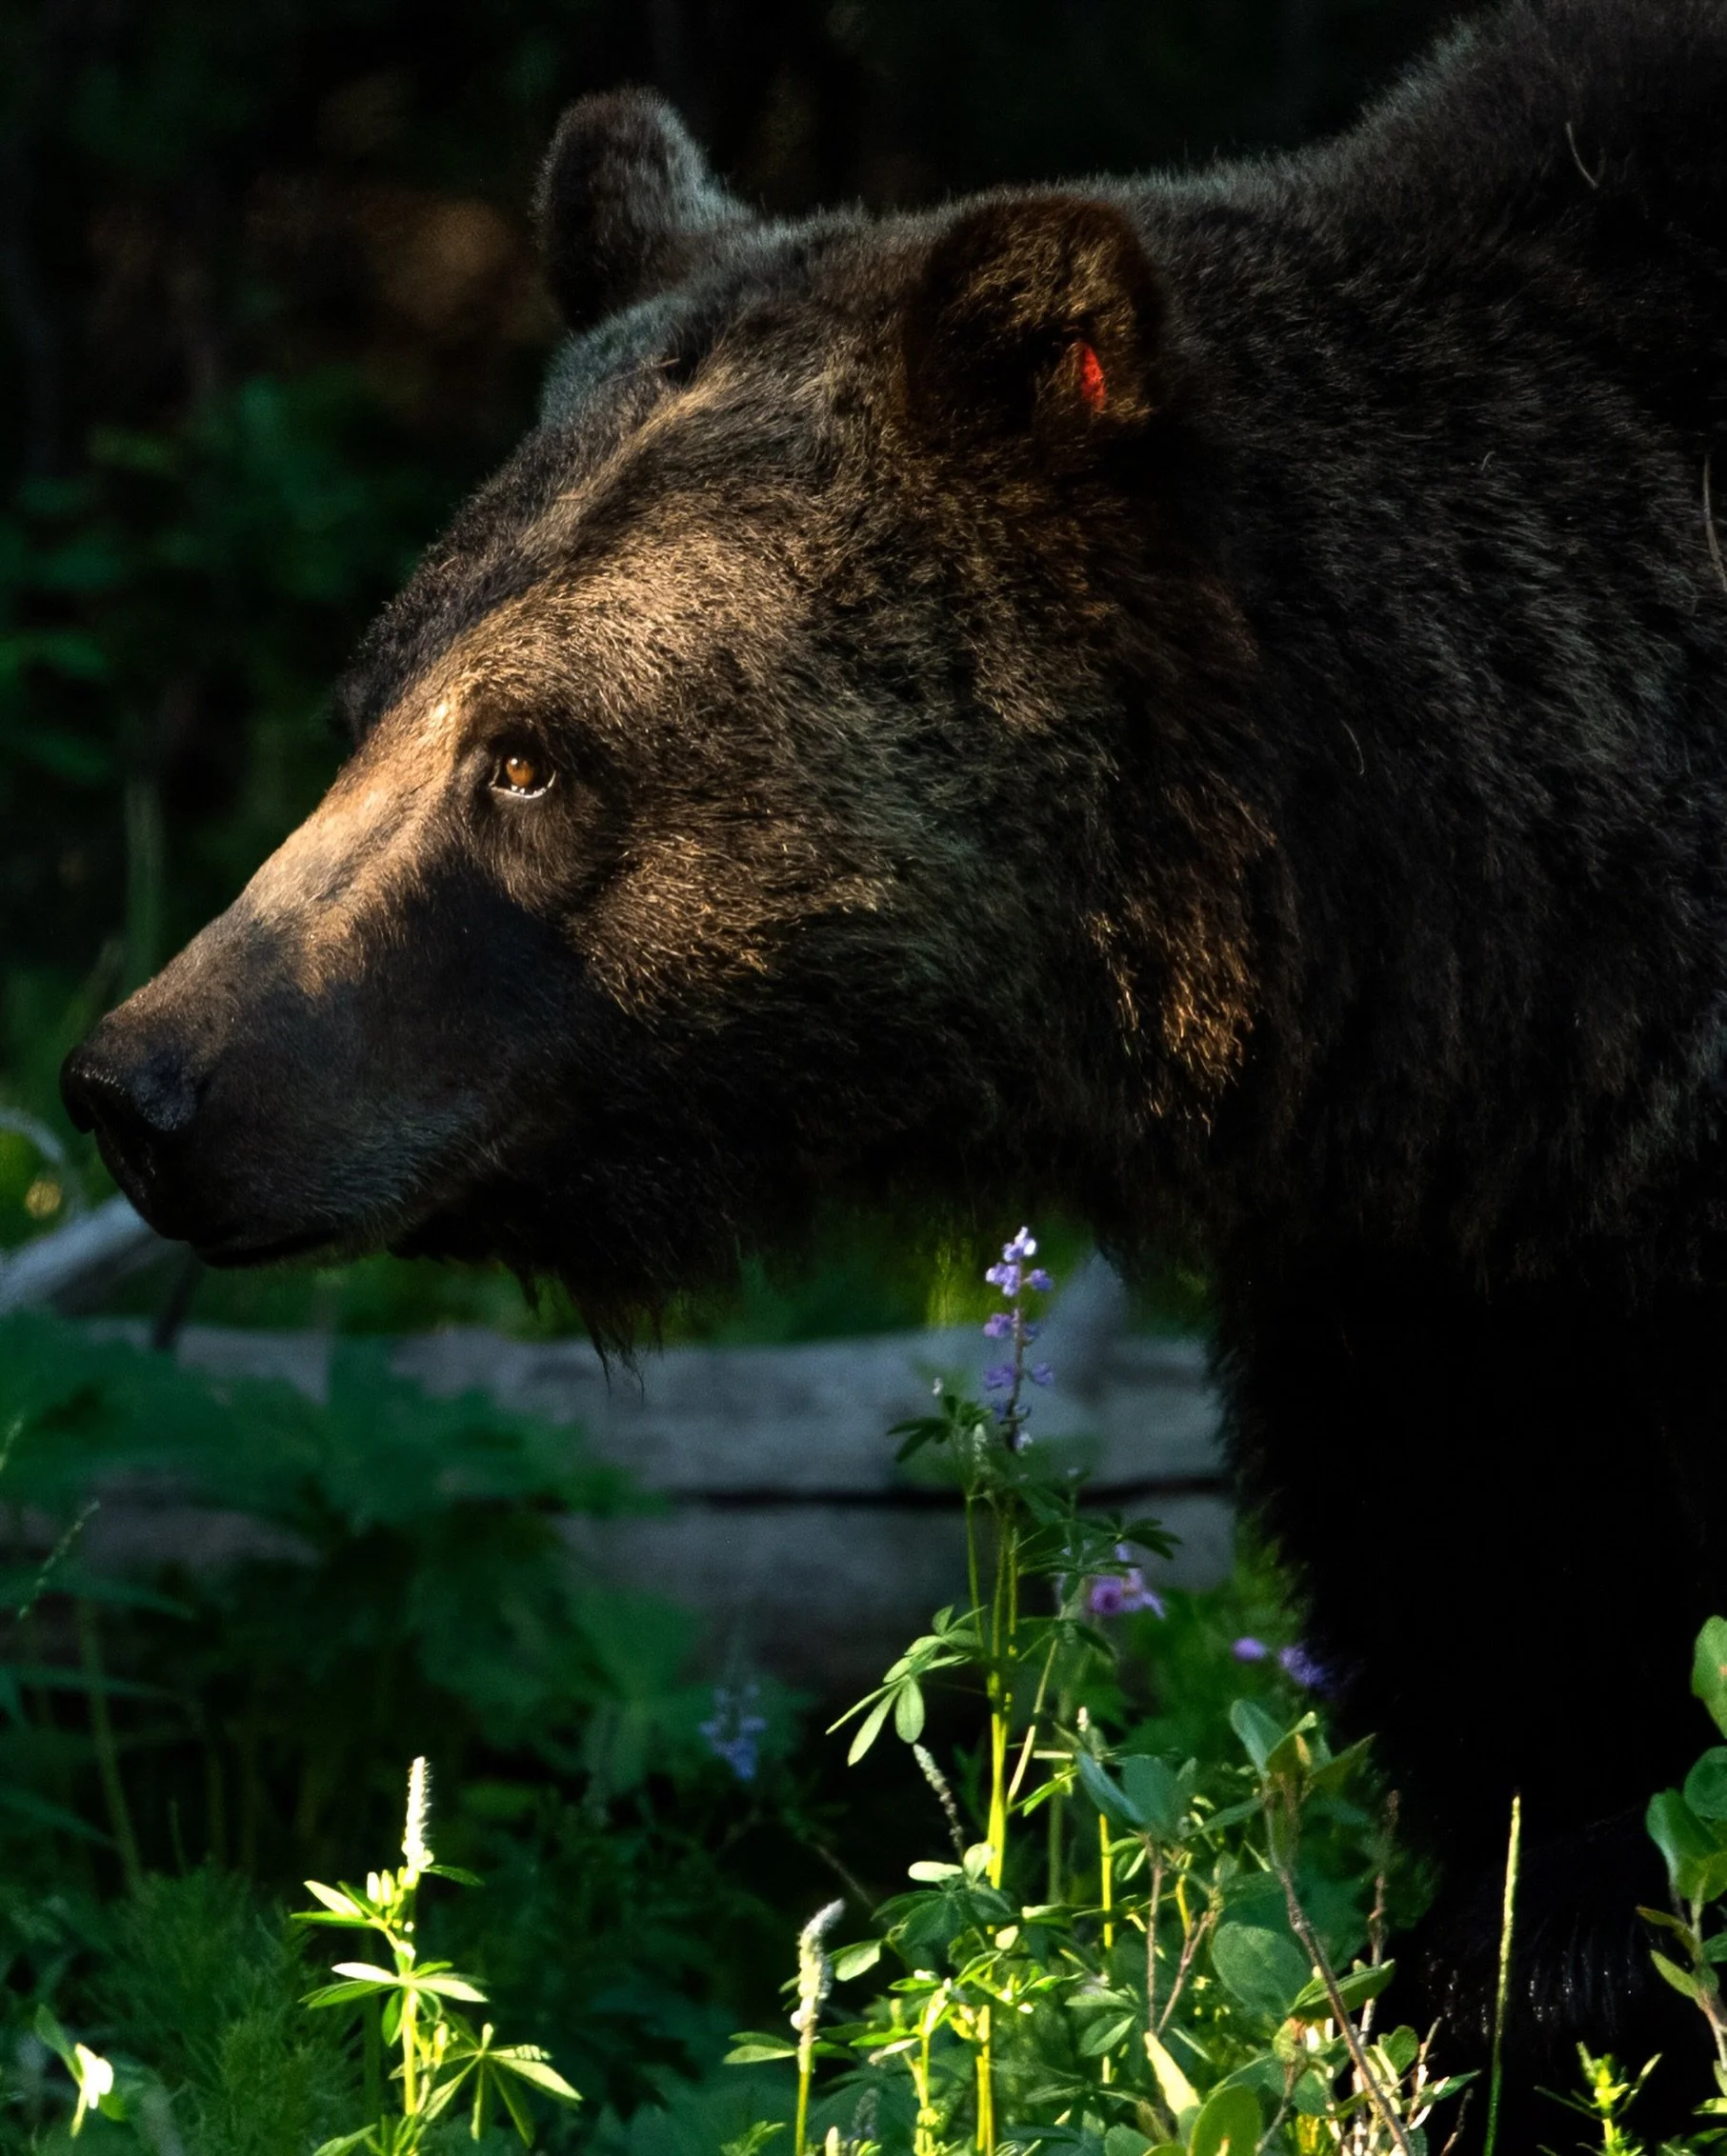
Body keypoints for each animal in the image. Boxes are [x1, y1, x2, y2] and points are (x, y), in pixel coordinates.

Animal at [59, 0, 1727, 2131]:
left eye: (527, 753)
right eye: (375, 695)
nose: (143, 1082)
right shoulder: (1449, 1319)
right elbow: (1524, 1708)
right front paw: (1508, 2012)